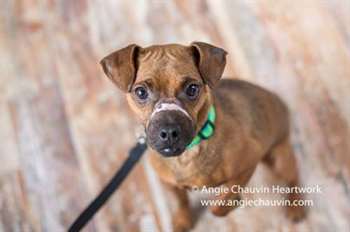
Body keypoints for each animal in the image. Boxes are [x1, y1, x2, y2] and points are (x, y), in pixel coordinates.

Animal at [100, 42, 304, 232]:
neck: (186, 155)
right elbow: (181, 201)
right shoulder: (169, 184)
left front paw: (231, 202)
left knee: (293, 178)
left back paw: (295, 207)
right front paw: (183, 220)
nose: (169, 132)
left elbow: (220, 204)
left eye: (192, 89)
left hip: (280, 161)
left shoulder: (248, 162)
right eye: (140, 92)